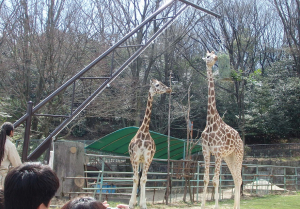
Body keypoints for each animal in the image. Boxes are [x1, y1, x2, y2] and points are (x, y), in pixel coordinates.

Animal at [128, 79, 171, 209]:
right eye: (157, 85)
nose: (169, 88)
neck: (144, 131)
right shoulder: (135, 157)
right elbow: (135, 178)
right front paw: (131, 203)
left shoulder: (147, 157)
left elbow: (144, 179)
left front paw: (143, 204)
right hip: (136, 159)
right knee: (137, 176)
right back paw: (134, 202)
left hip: (145, 160)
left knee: (142, 176)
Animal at [199, 51, 244, 209]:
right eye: (207, 56)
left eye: (213, 54)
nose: (215, 58)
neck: (211, 122)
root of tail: (240, 139)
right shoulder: (206, 150)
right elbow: (206, 179)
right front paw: (202, 205)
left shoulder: (217, 152)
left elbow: (215, 180)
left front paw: (216, 206)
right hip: (229, 157)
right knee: (236, 178)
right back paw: (235, 206)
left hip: (238, 155)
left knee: (239, 179)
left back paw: (237, 206)